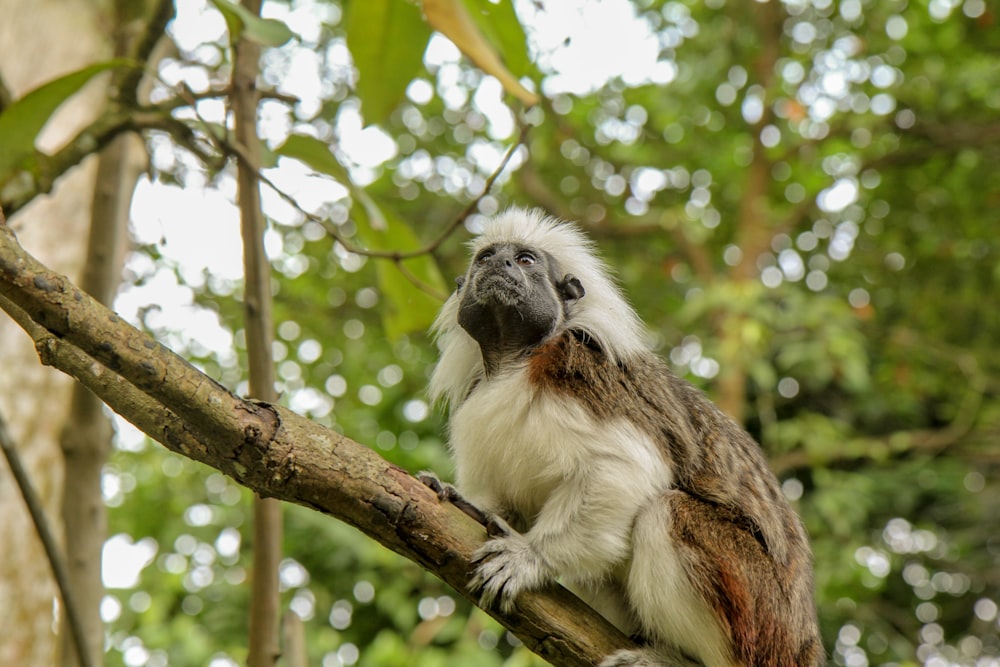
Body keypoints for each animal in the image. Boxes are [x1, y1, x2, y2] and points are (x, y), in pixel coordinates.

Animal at [422, 209, 820, 667]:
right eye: (486, 257)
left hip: (758, 613)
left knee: (667, 512)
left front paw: (531, 557)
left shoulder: (580, 374)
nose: (499, 265)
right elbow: (500, 504)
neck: (513, 363)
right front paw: (462, 502)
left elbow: (628, 465)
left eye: (524, 260)